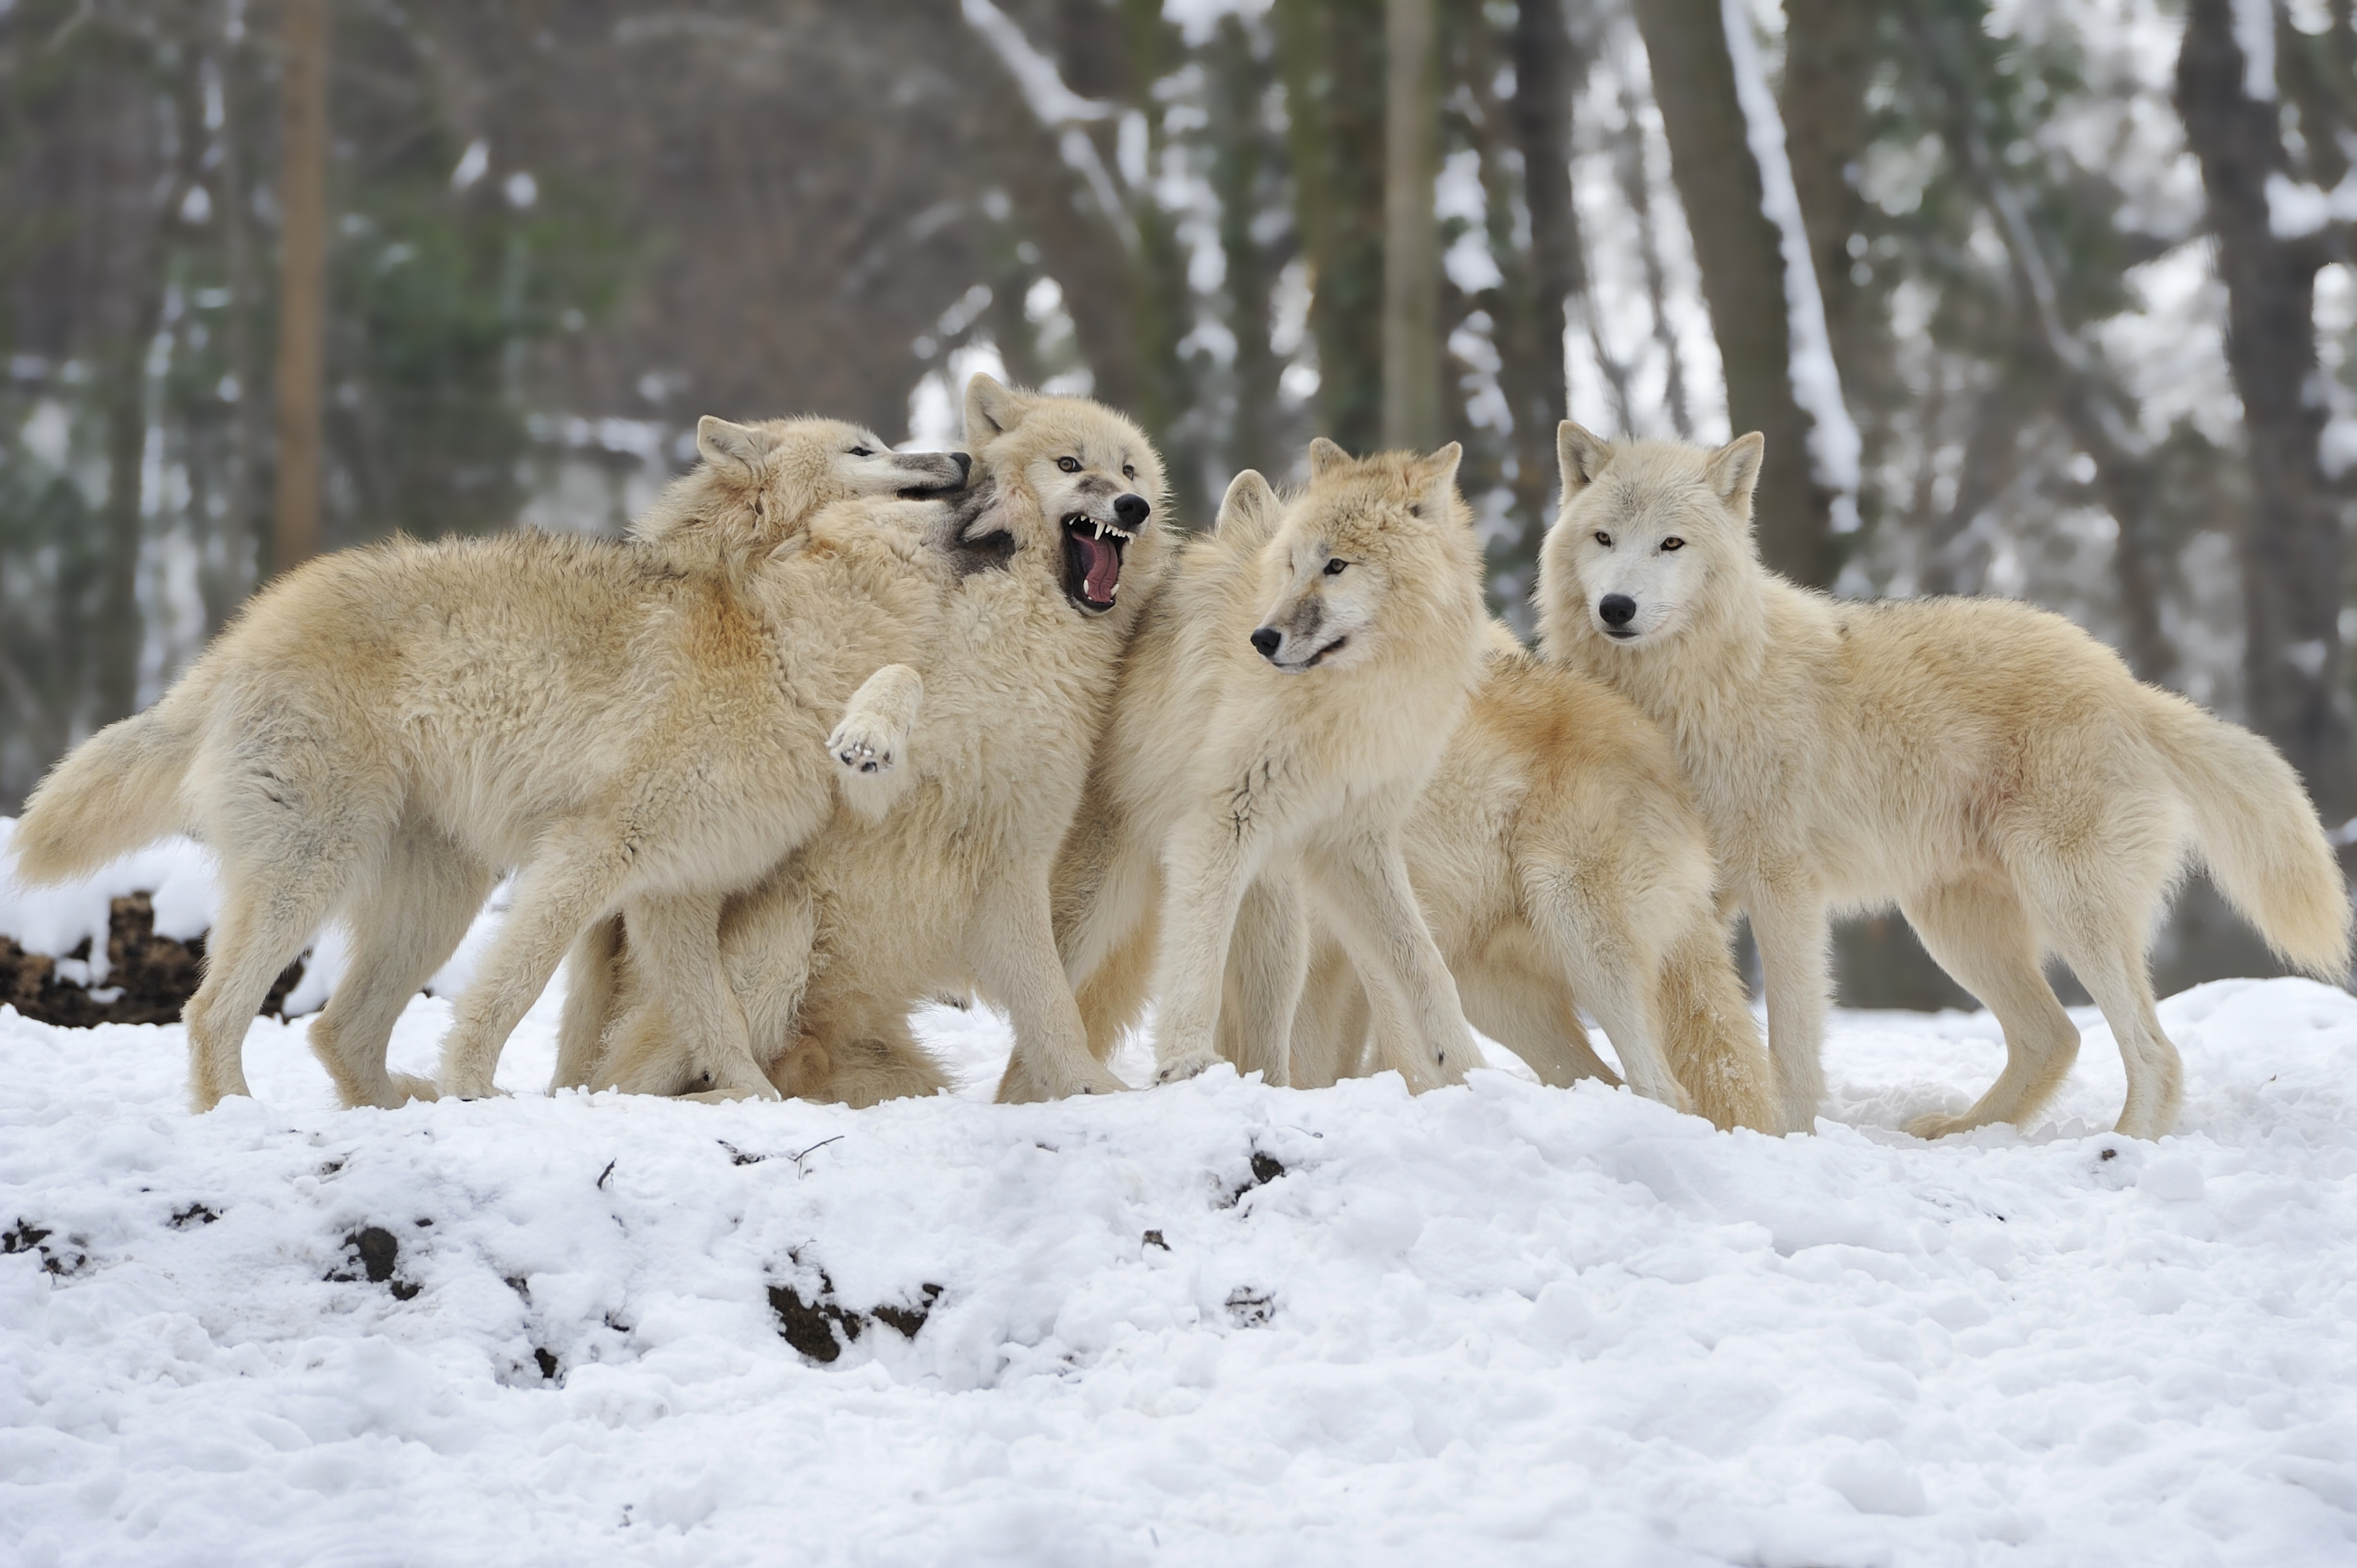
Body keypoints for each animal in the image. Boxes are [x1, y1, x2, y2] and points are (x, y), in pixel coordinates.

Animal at [8, 418, 968, 1111]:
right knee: (213, 1012)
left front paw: (759, 1103)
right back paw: (244, 1119)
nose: (962, 456)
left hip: (437, 896)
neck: (772, 646)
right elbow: (514, 989)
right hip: (314, 872)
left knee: (336, 1031)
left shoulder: (676, 895)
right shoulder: (589, 856)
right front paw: (475, 1086)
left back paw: (396, 1107)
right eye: (866, 449)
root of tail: (236, 639)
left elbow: (719, 1022)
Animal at [561, 375, 1170, 1106]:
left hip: (897, 1070)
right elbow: (902, 679)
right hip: (781, 936)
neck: (1023, 636)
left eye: (1130, 471)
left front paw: (1089, 1088)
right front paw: (868, 734)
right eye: (1071, 465)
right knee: (638, 1082)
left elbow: (1054, 1008)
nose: (1132, 506)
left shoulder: (1016, 855)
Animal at [1031, 440, 1490, 1097]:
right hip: (1088, 910)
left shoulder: (1353, 842)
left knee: (1270, 1039)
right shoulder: (1222, 822)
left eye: (1337, 566)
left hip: (1280, 925)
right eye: (1293, 565)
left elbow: (1427, 966)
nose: (1262, 638)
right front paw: (1185, 1063)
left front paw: (1471, 1071)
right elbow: (1196, 955)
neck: (1355, 698)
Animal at [1537, 424, 2351, 1139]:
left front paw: (1787, 1135)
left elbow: (1790, 1042)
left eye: (1671, 544)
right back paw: (1965, 1134)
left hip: (2065, 906)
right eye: (1604, 539)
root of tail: (2129, 686)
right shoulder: (1690, 895)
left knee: (2154, 1050)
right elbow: (1699, 1031)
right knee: (2055, 1036)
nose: (1617, 608)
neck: (1691, 691)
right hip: (1954, 927)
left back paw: (2123, 1149)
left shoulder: (1782, 890)